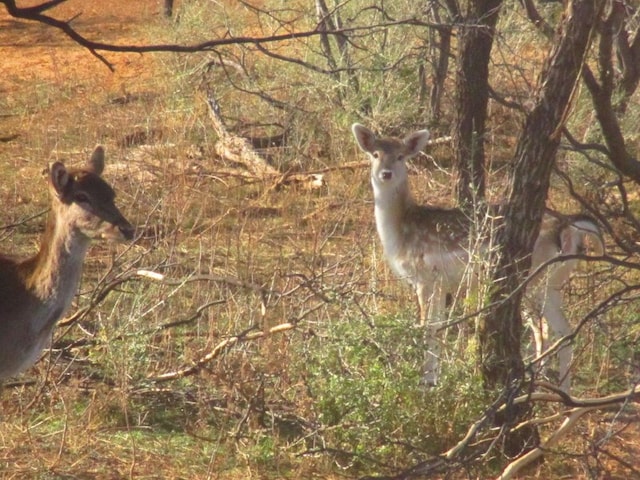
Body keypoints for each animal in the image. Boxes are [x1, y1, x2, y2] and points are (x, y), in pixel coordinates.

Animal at [352, 124, 604, 390]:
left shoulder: (424, 277)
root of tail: (570, 226)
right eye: (375, 154)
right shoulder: (441, 284)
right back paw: (561, 392)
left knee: (553, 330)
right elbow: (438, 327)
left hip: (536, 277)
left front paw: (425, 383)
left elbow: (426, 328)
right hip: (553, 280)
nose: (386, 174)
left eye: (401, 156)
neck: (400, 234)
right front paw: (434, 379)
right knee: (563, 332)